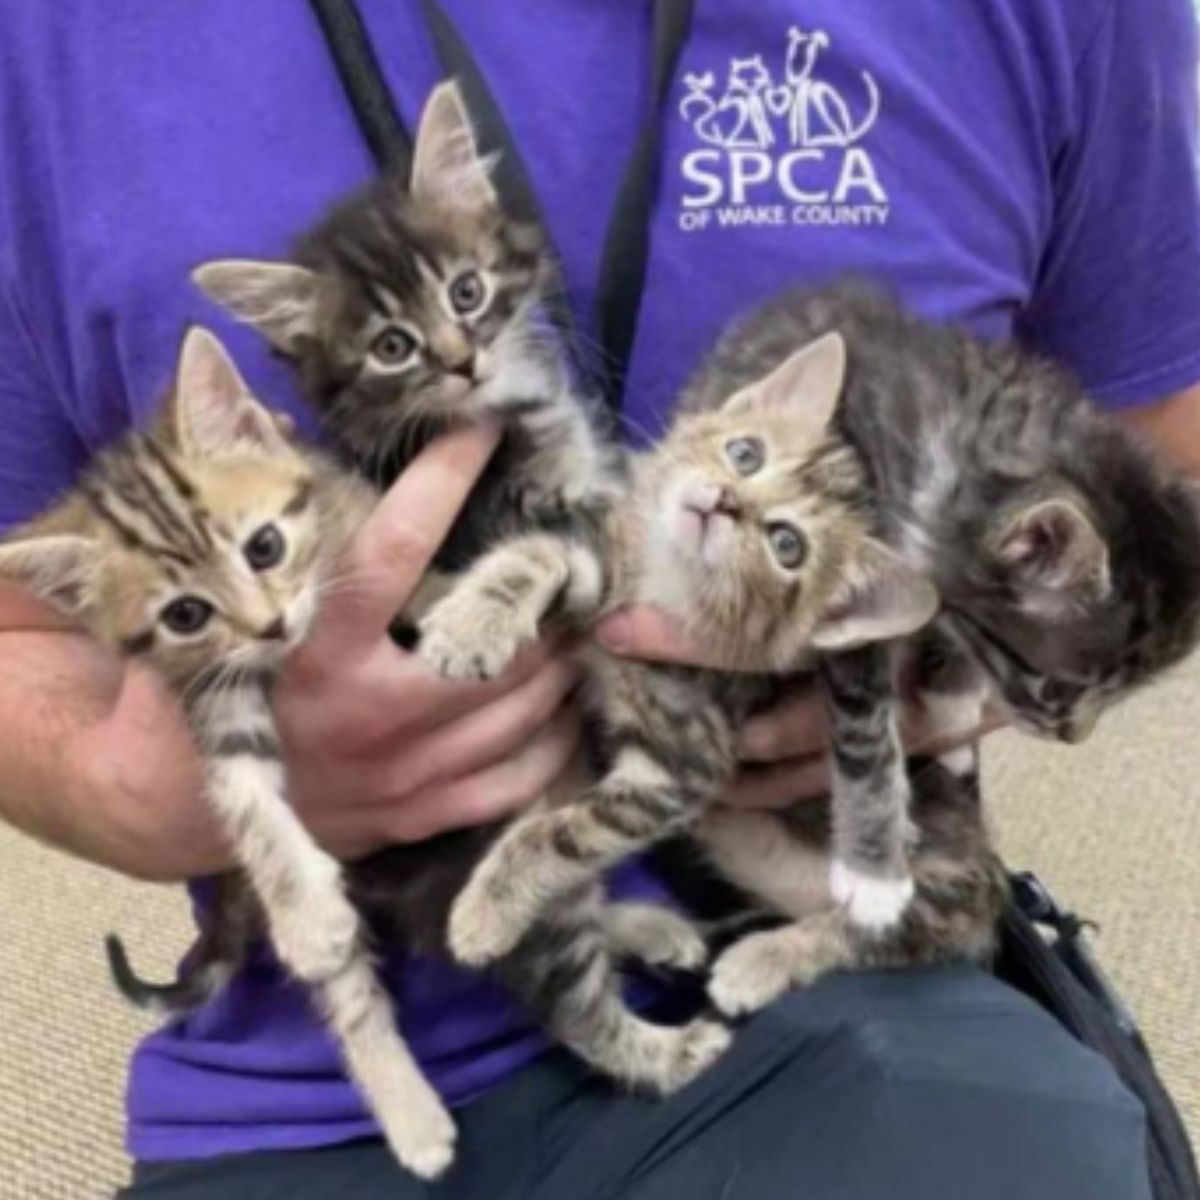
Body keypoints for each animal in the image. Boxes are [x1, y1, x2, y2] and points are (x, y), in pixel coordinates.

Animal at [0, 331, 458, 1180]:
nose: (270, 625)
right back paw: (410, 1114)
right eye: (186, 614)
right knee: (348, 994)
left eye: (264, 546)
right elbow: (242, 796)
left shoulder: (358, 524)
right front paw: (304, 911)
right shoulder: (210, 693)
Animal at [412, 328, 945, 974]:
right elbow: (540, 555)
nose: (723, 500)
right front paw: (466, 617)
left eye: (786, 544)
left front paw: (491, 904)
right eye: (745, 455)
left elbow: (567, 833)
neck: (663, 585)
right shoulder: (603, 573)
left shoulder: (679, 768)